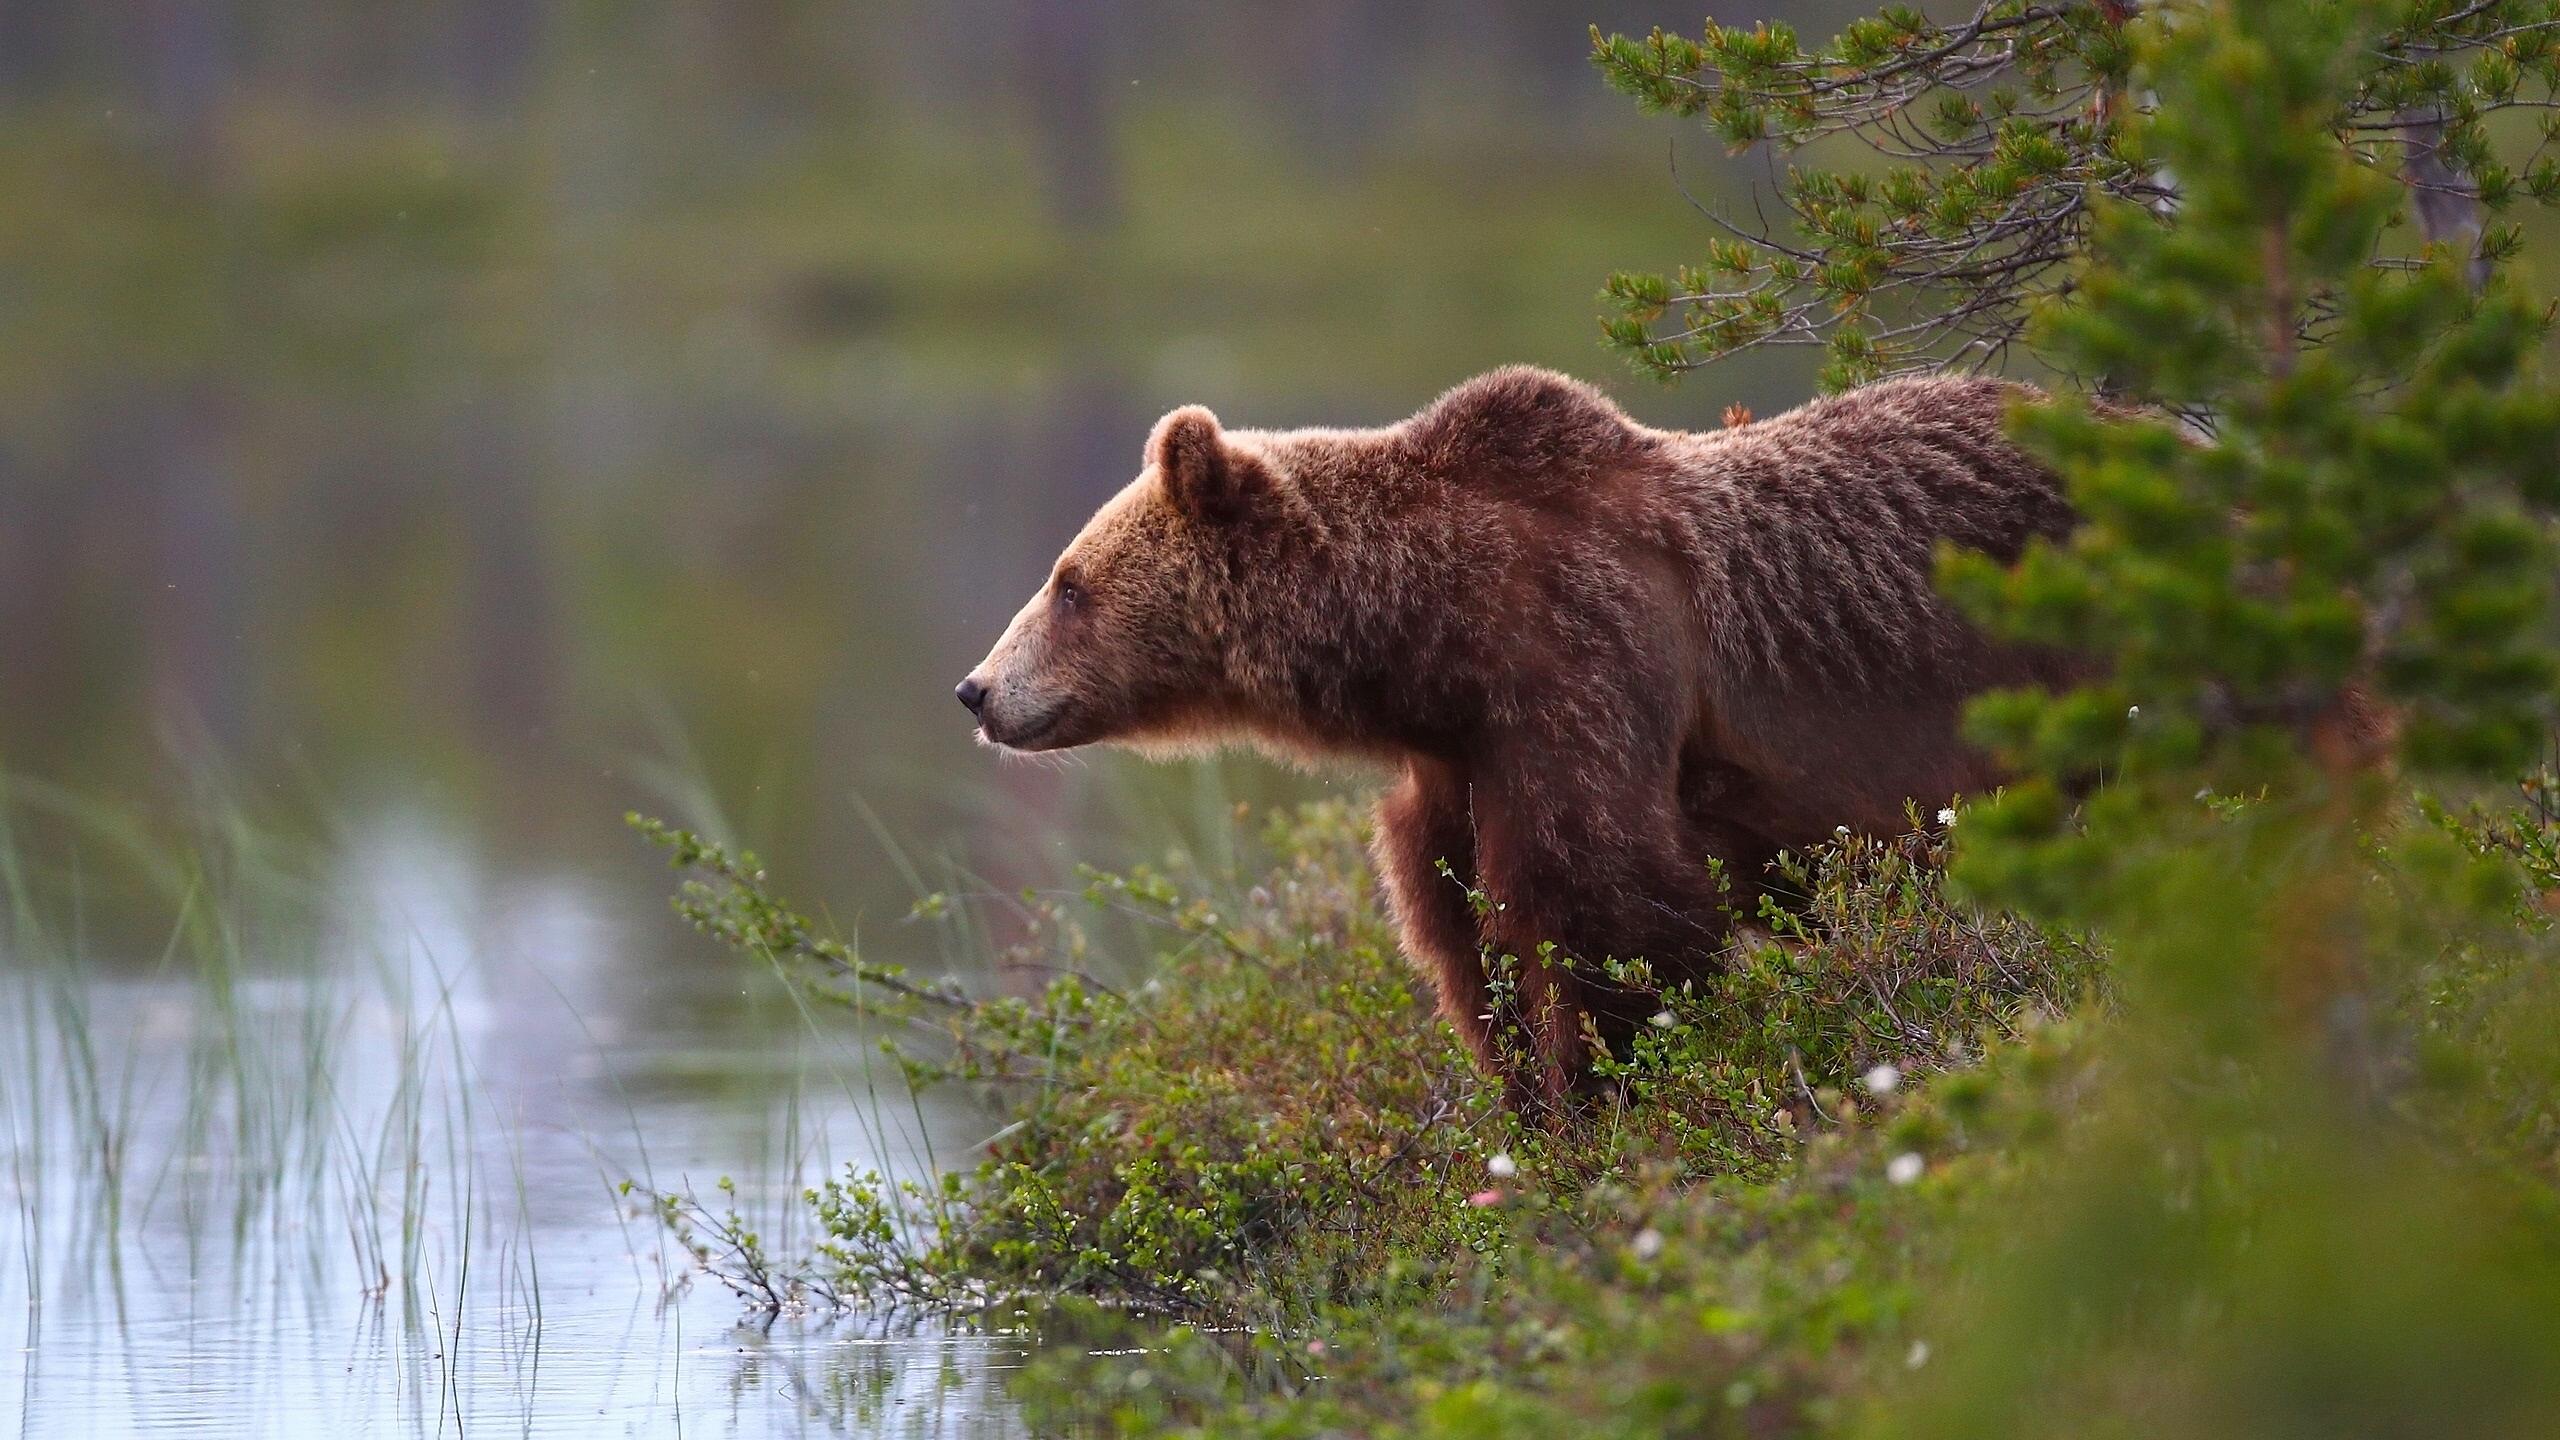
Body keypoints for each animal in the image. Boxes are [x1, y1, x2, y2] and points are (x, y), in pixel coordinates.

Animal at [957, 366, 2078, 1112]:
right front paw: (1522, 1093)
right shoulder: (1459, 761)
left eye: (1069, 582)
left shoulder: (1580, 667)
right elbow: (1458, 926)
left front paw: (1604, 1091)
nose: (975, 690)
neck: (1431, 636)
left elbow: (1607, 906)